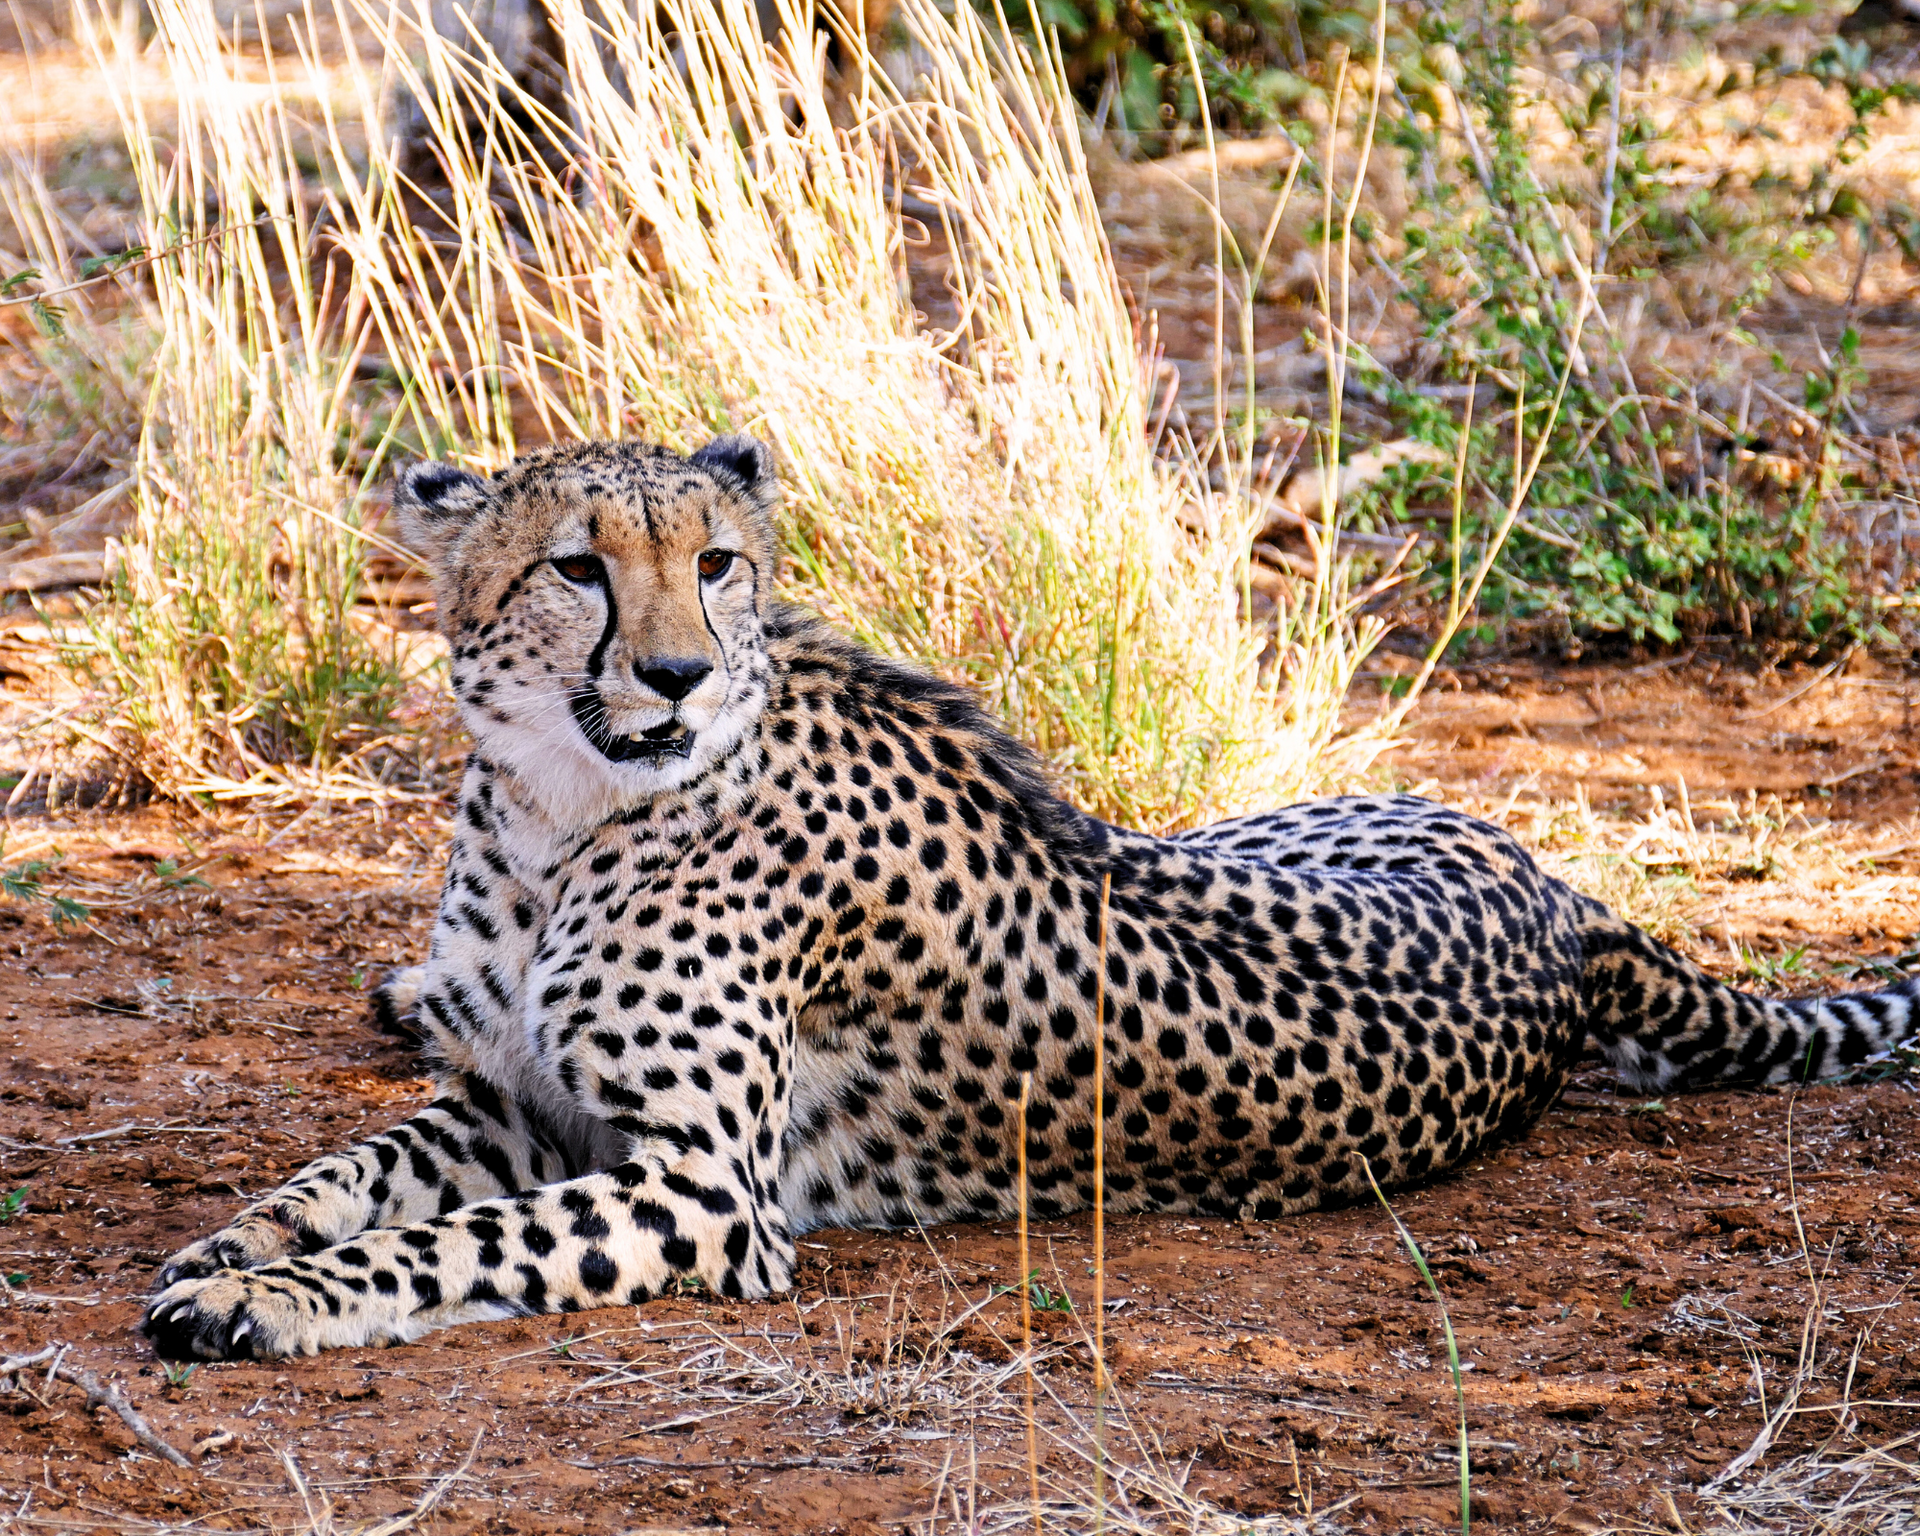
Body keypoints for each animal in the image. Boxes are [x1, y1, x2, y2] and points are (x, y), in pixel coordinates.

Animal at [140, 435, 1920, 1360]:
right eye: (578, 566)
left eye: (716, 562)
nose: (677, 674)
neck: (560, 811)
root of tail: (1570, 905)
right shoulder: (513, 1100)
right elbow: (342, 1176)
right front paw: (233, 1247)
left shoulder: (702, 1188)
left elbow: (431, 1245)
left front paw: (269, 1298)